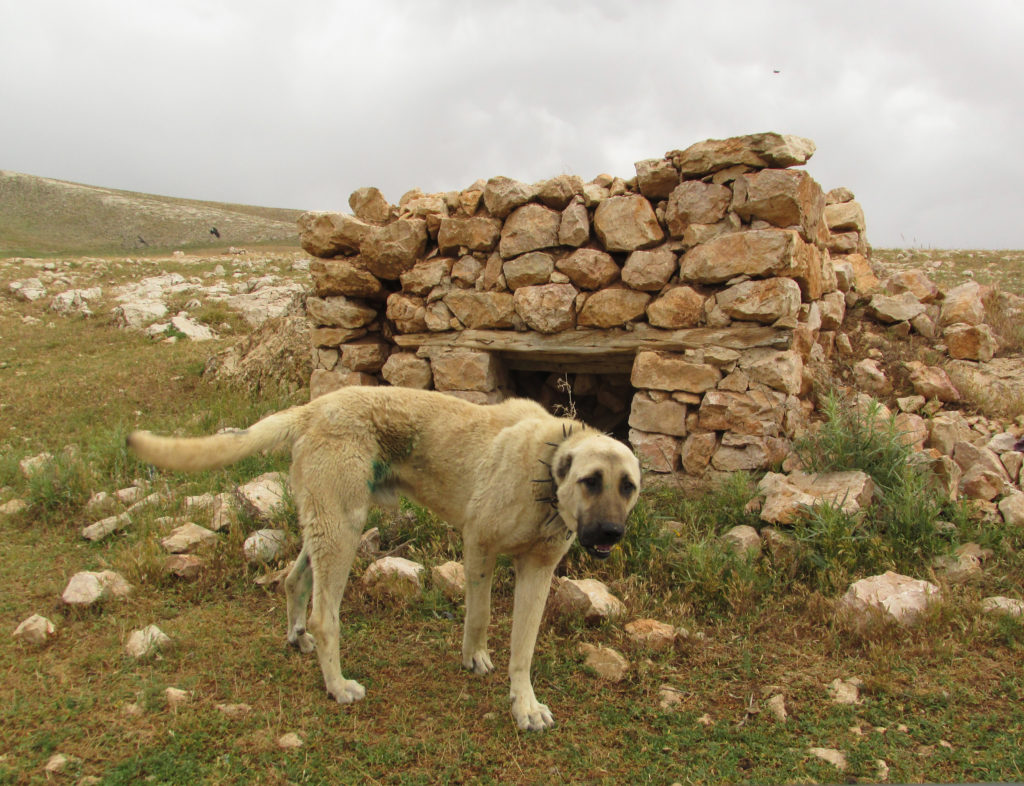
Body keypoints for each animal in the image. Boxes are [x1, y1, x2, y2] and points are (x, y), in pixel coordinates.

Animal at [128, 386, 638, 728]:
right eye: (591, 481)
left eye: (628, 486)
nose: (611, 533)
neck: (547, 469)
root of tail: (314, 407)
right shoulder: (479, 546)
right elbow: (479, 615)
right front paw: (474, 658)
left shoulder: (539, 569)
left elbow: (523, 648)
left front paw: (524, 704)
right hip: (342, 528)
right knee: (325, 617)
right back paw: (337, 686)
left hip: (326, 525)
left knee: (294, 581)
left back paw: (296, 637)